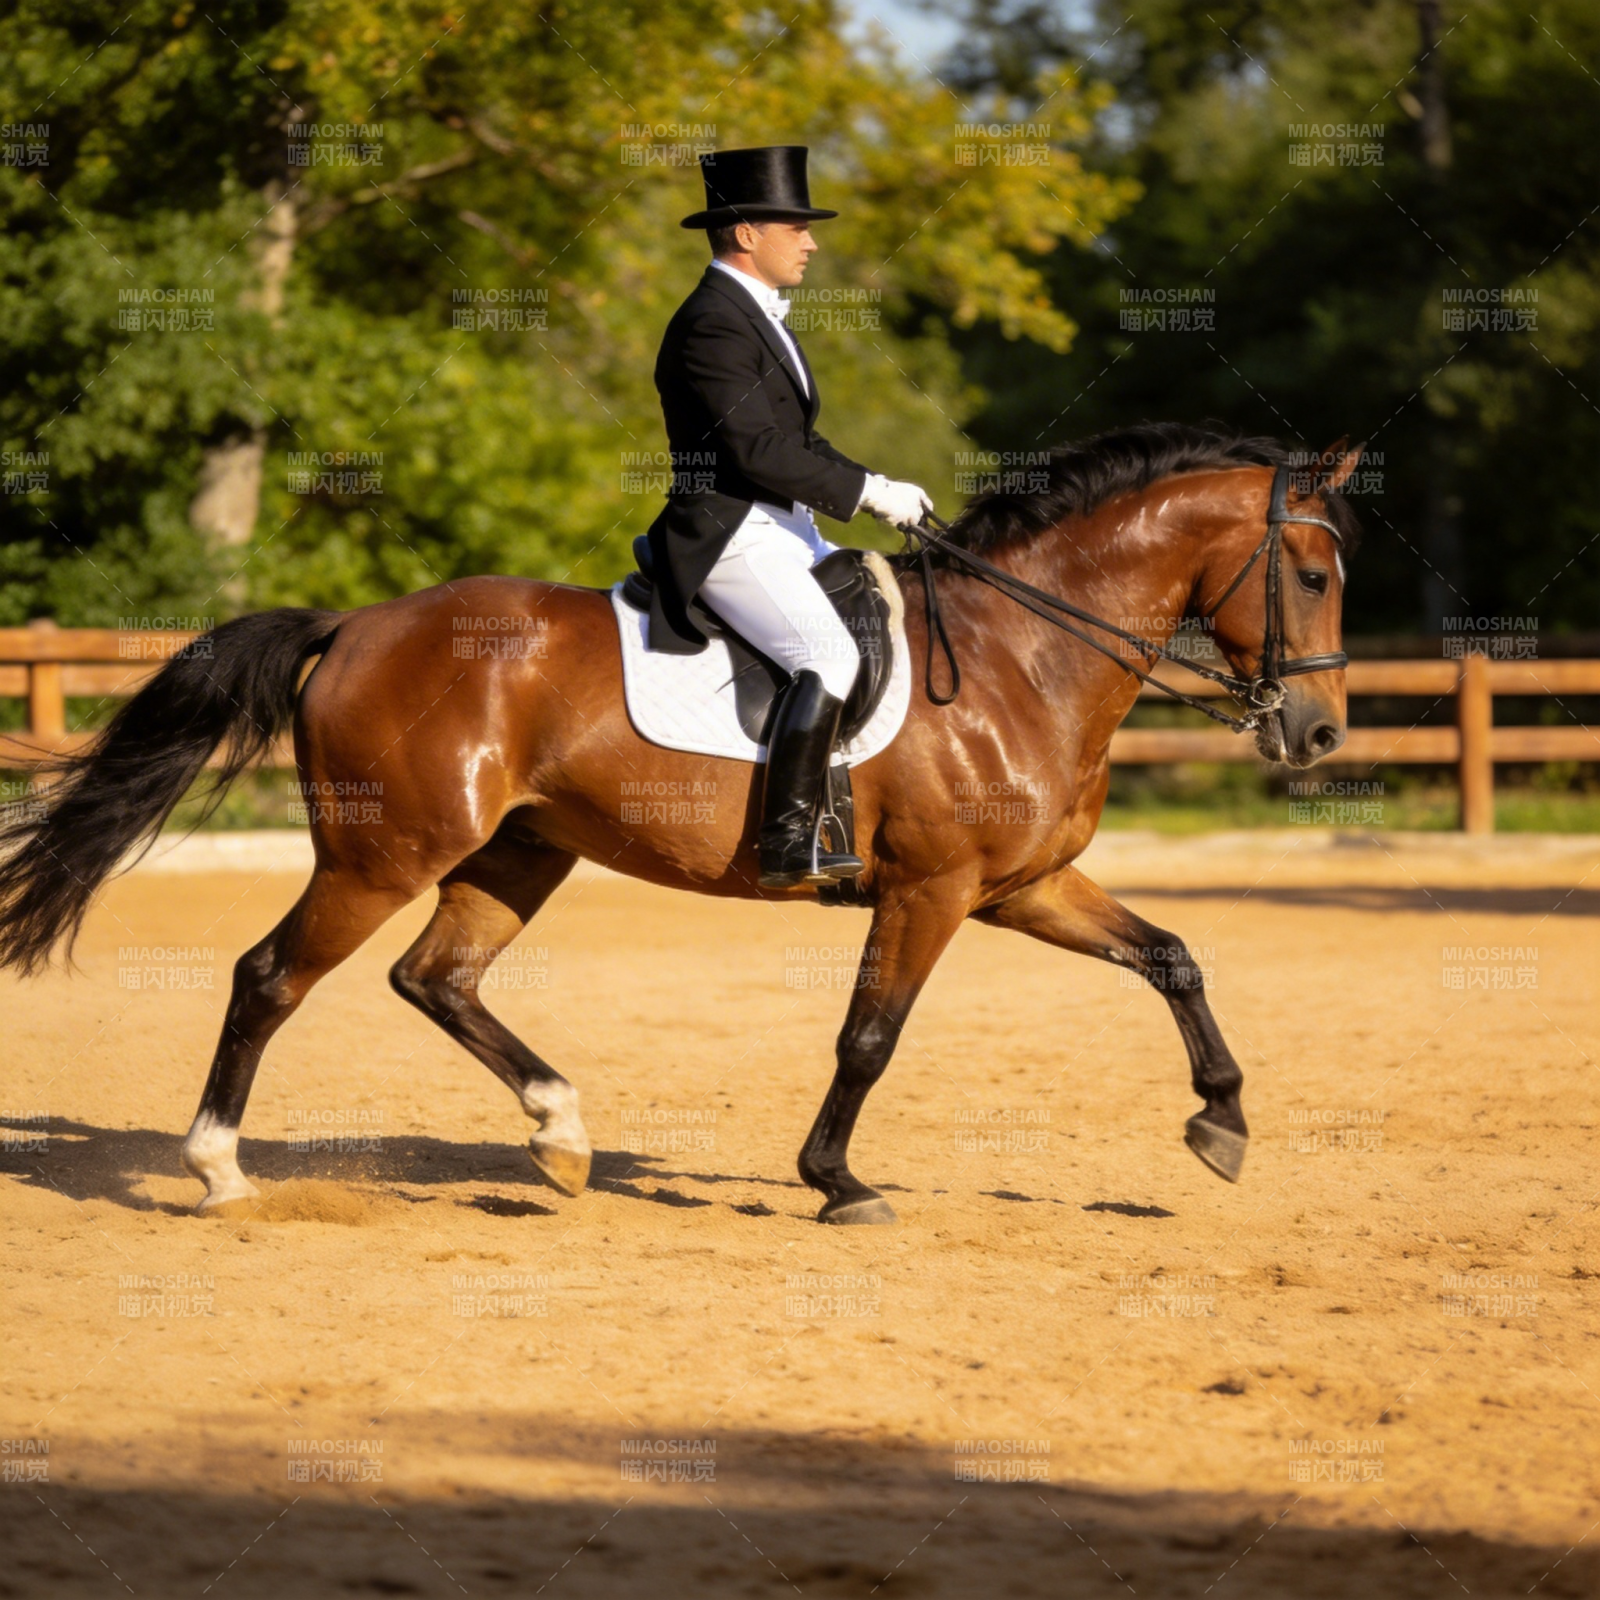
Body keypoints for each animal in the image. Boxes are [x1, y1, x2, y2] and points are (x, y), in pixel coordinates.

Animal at [0, 422, 1363, 1225]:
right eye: (1310, 574)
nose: (1315, 736)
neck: (1022, 654)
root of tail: (357, 623)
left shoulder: (1018, 887)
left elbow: (1172, 956)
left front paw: (1223, 1122)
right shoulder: (930, 893)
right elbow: (869, 1036)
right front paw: (835, 1180)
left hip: (516, 849)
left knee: (434, 978)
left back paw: (560, 1134)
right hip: (386, 852)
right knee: (270, 974)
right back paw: (218, 1167)